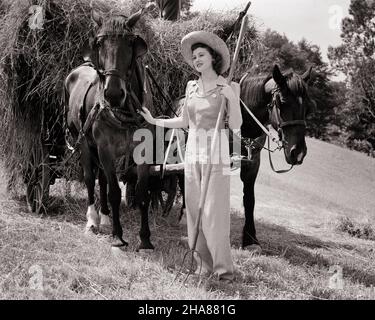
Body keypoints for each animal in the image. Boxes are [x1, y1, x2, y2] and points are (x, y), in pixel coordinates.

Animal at [64, 8, 154, 250]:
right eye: (99, 43)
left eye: (131, 43)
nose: (113, 94)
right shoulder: (104, 147)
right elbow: (114, 191)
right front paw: (117, 235)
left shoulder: (143, 151)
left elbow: (142, 192)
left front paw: (145, 239)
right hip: (84, 143)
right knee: (90, 178)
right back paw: (93, 220)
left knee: (102, 177)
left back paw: (104, 216)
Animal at [239, 65, 316, 250]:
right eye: (282, 102)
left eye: (309, 108)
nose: (298, 152)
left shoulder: (252, 163)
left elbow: (250, 200)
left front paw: (251, 240)